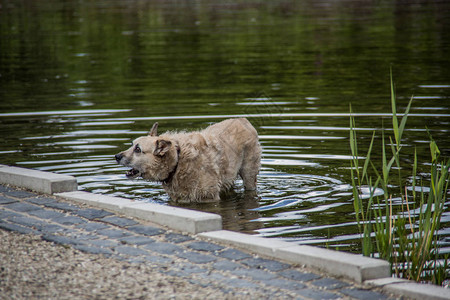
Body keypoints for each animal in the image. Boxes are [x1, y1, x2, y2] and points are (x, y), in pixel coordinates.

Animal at [115, 118, 260, 203]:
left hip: (249, 174)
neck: (177, 161)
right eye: (132, 145)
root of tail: (243, 120)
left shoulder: (209, 197)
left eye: (138, 149)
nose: (116, 156)